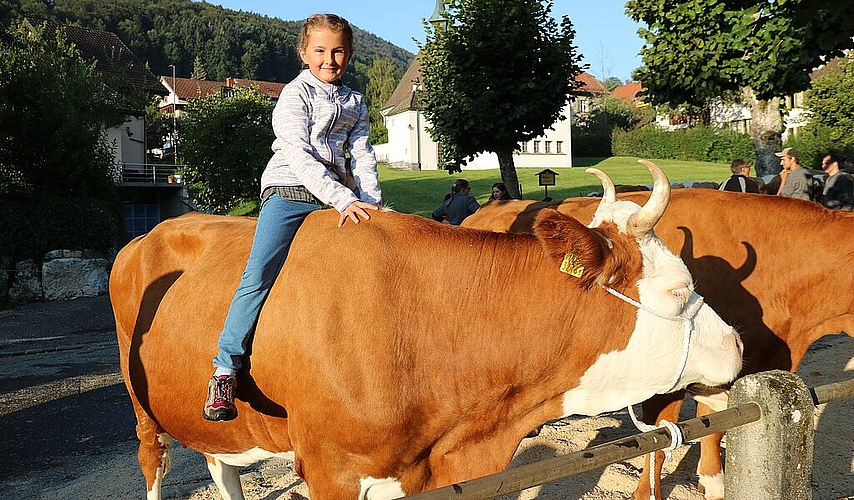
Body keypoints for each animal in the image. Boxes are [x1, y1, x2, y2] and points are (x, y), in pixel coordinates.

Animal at [112, 162, 744, 498]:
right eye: (679, 289)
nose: (739, 344)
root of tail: (146, 235)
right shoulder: (330, 470)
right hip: (142, 411)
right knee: (154, 463)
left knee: (221, 465)